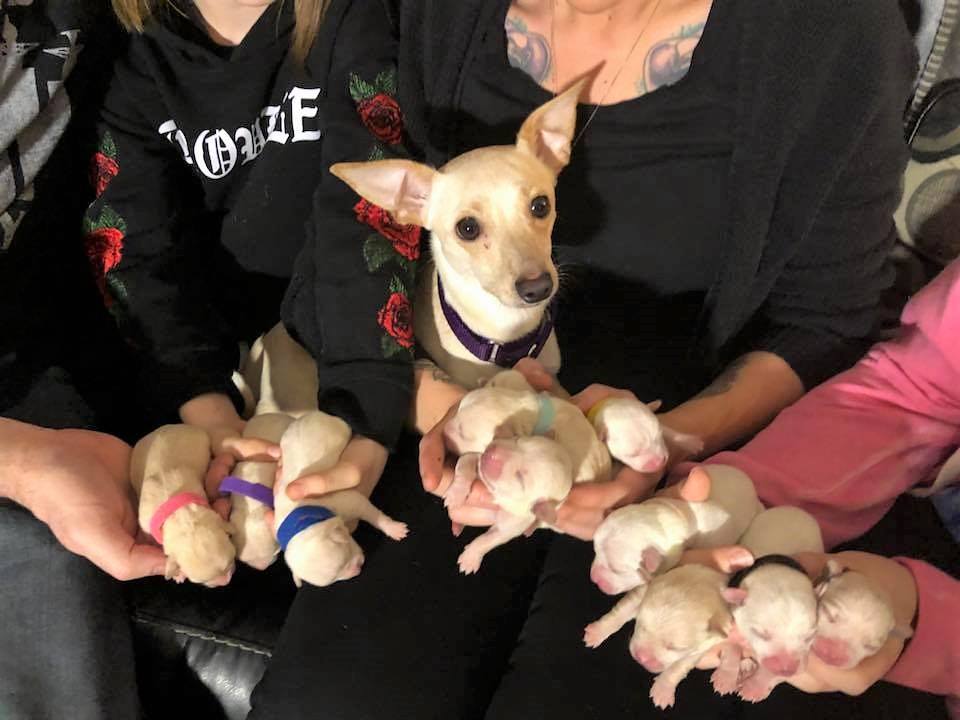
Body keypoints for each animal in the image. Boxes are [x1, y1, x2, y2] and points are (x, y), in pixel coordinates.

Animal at [272, 410, 406, 584]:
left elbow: (372, 513)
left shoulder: (349, 501)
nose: (358, 569)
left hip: (339, 427)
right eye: (335, 579)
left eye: (347, 551)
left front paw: (394, 528)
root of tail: (307, 415)